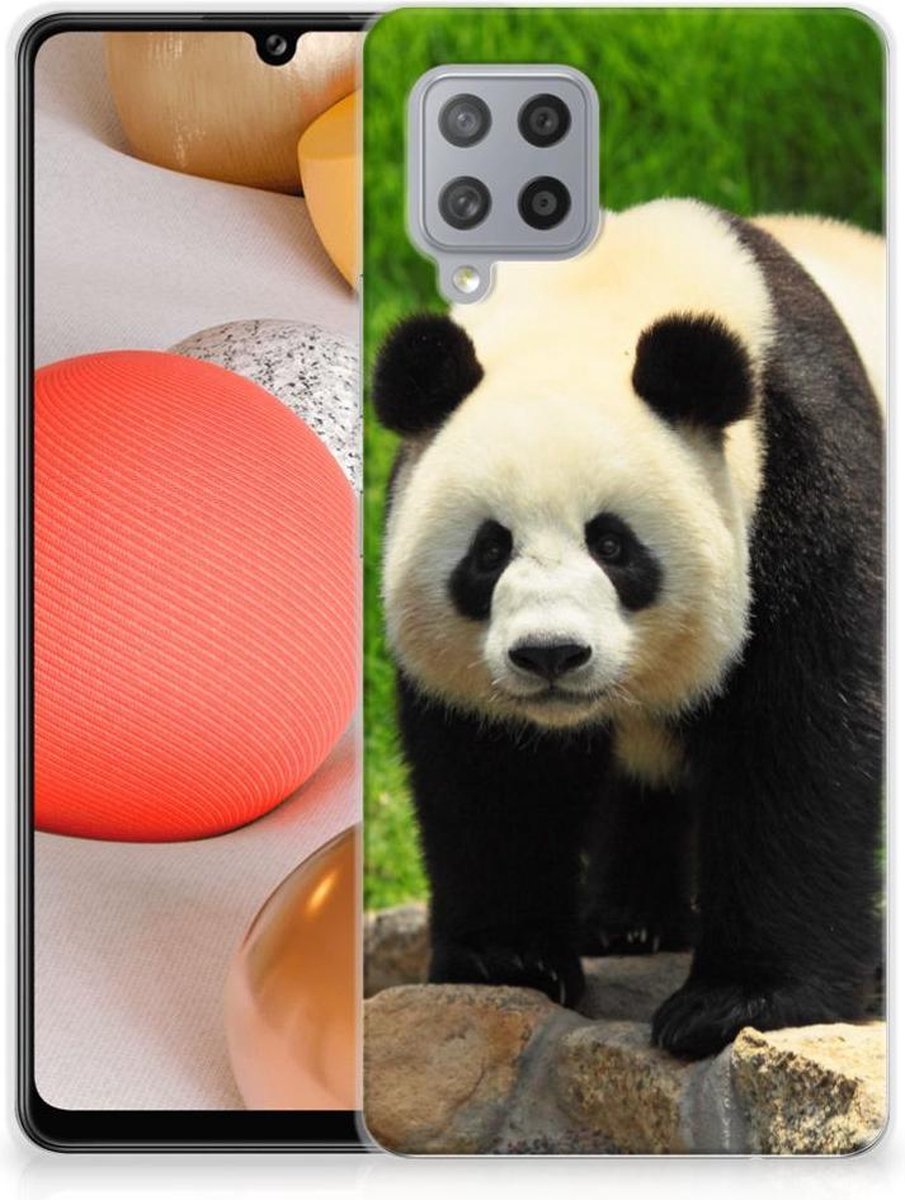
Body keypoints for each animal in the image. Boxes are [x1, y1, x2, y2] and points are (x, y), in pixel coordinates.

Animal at [372, 198, 884, 1060]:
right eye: (488, 550)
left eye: (611, 545)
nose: (550, 654)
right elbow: (491, 770)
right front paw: (508, 959)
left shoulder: (804, 477)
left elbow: (800, 736)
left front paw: (737, 1002)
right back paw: (629, 922)